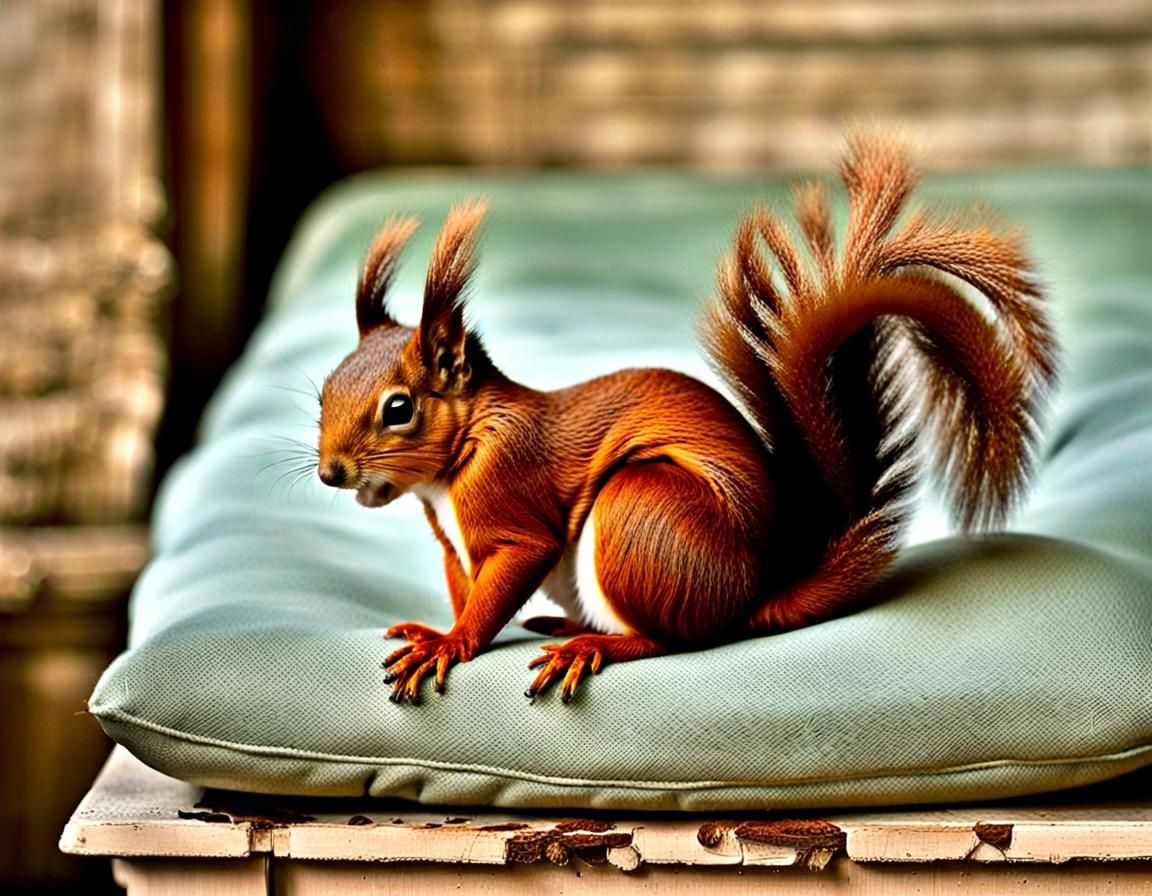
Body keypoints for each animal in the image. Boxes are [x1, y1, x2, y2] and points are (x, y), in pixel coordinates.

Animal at [316, 135, 1055, 704]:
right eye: (322, 392)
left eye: (399, 409)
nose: (330, 473)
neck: (456, 459)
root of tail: (747, 601)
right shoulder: (452, 543)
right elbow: (464, 586)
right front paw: (432, 630)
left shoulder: (511, 496)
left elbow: (505, 576)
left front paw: (450, 643)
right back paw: (564, 627)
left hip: (641, 508)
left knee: (671, 640)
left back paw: (593, 644)